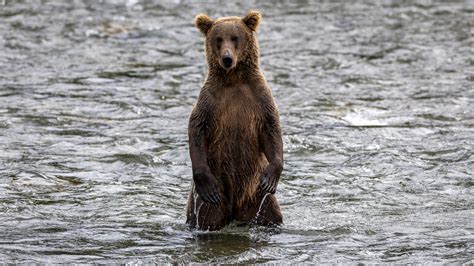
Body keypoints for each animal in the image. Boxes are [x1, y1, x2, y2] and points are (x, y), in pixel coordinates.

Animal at [185, 10, 282, 231]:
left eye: (235, 37)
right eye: (218, 39)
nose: (227, 59)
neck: (234, 79)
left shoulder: (259, 97)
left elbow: (272, 127)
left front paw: (272, 177)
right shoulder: (210, 100)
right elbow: (197, 127)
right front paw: (205, 182)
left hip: (257, 196)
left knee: (270, 214)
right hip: (211, 199)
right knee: (207, 216)